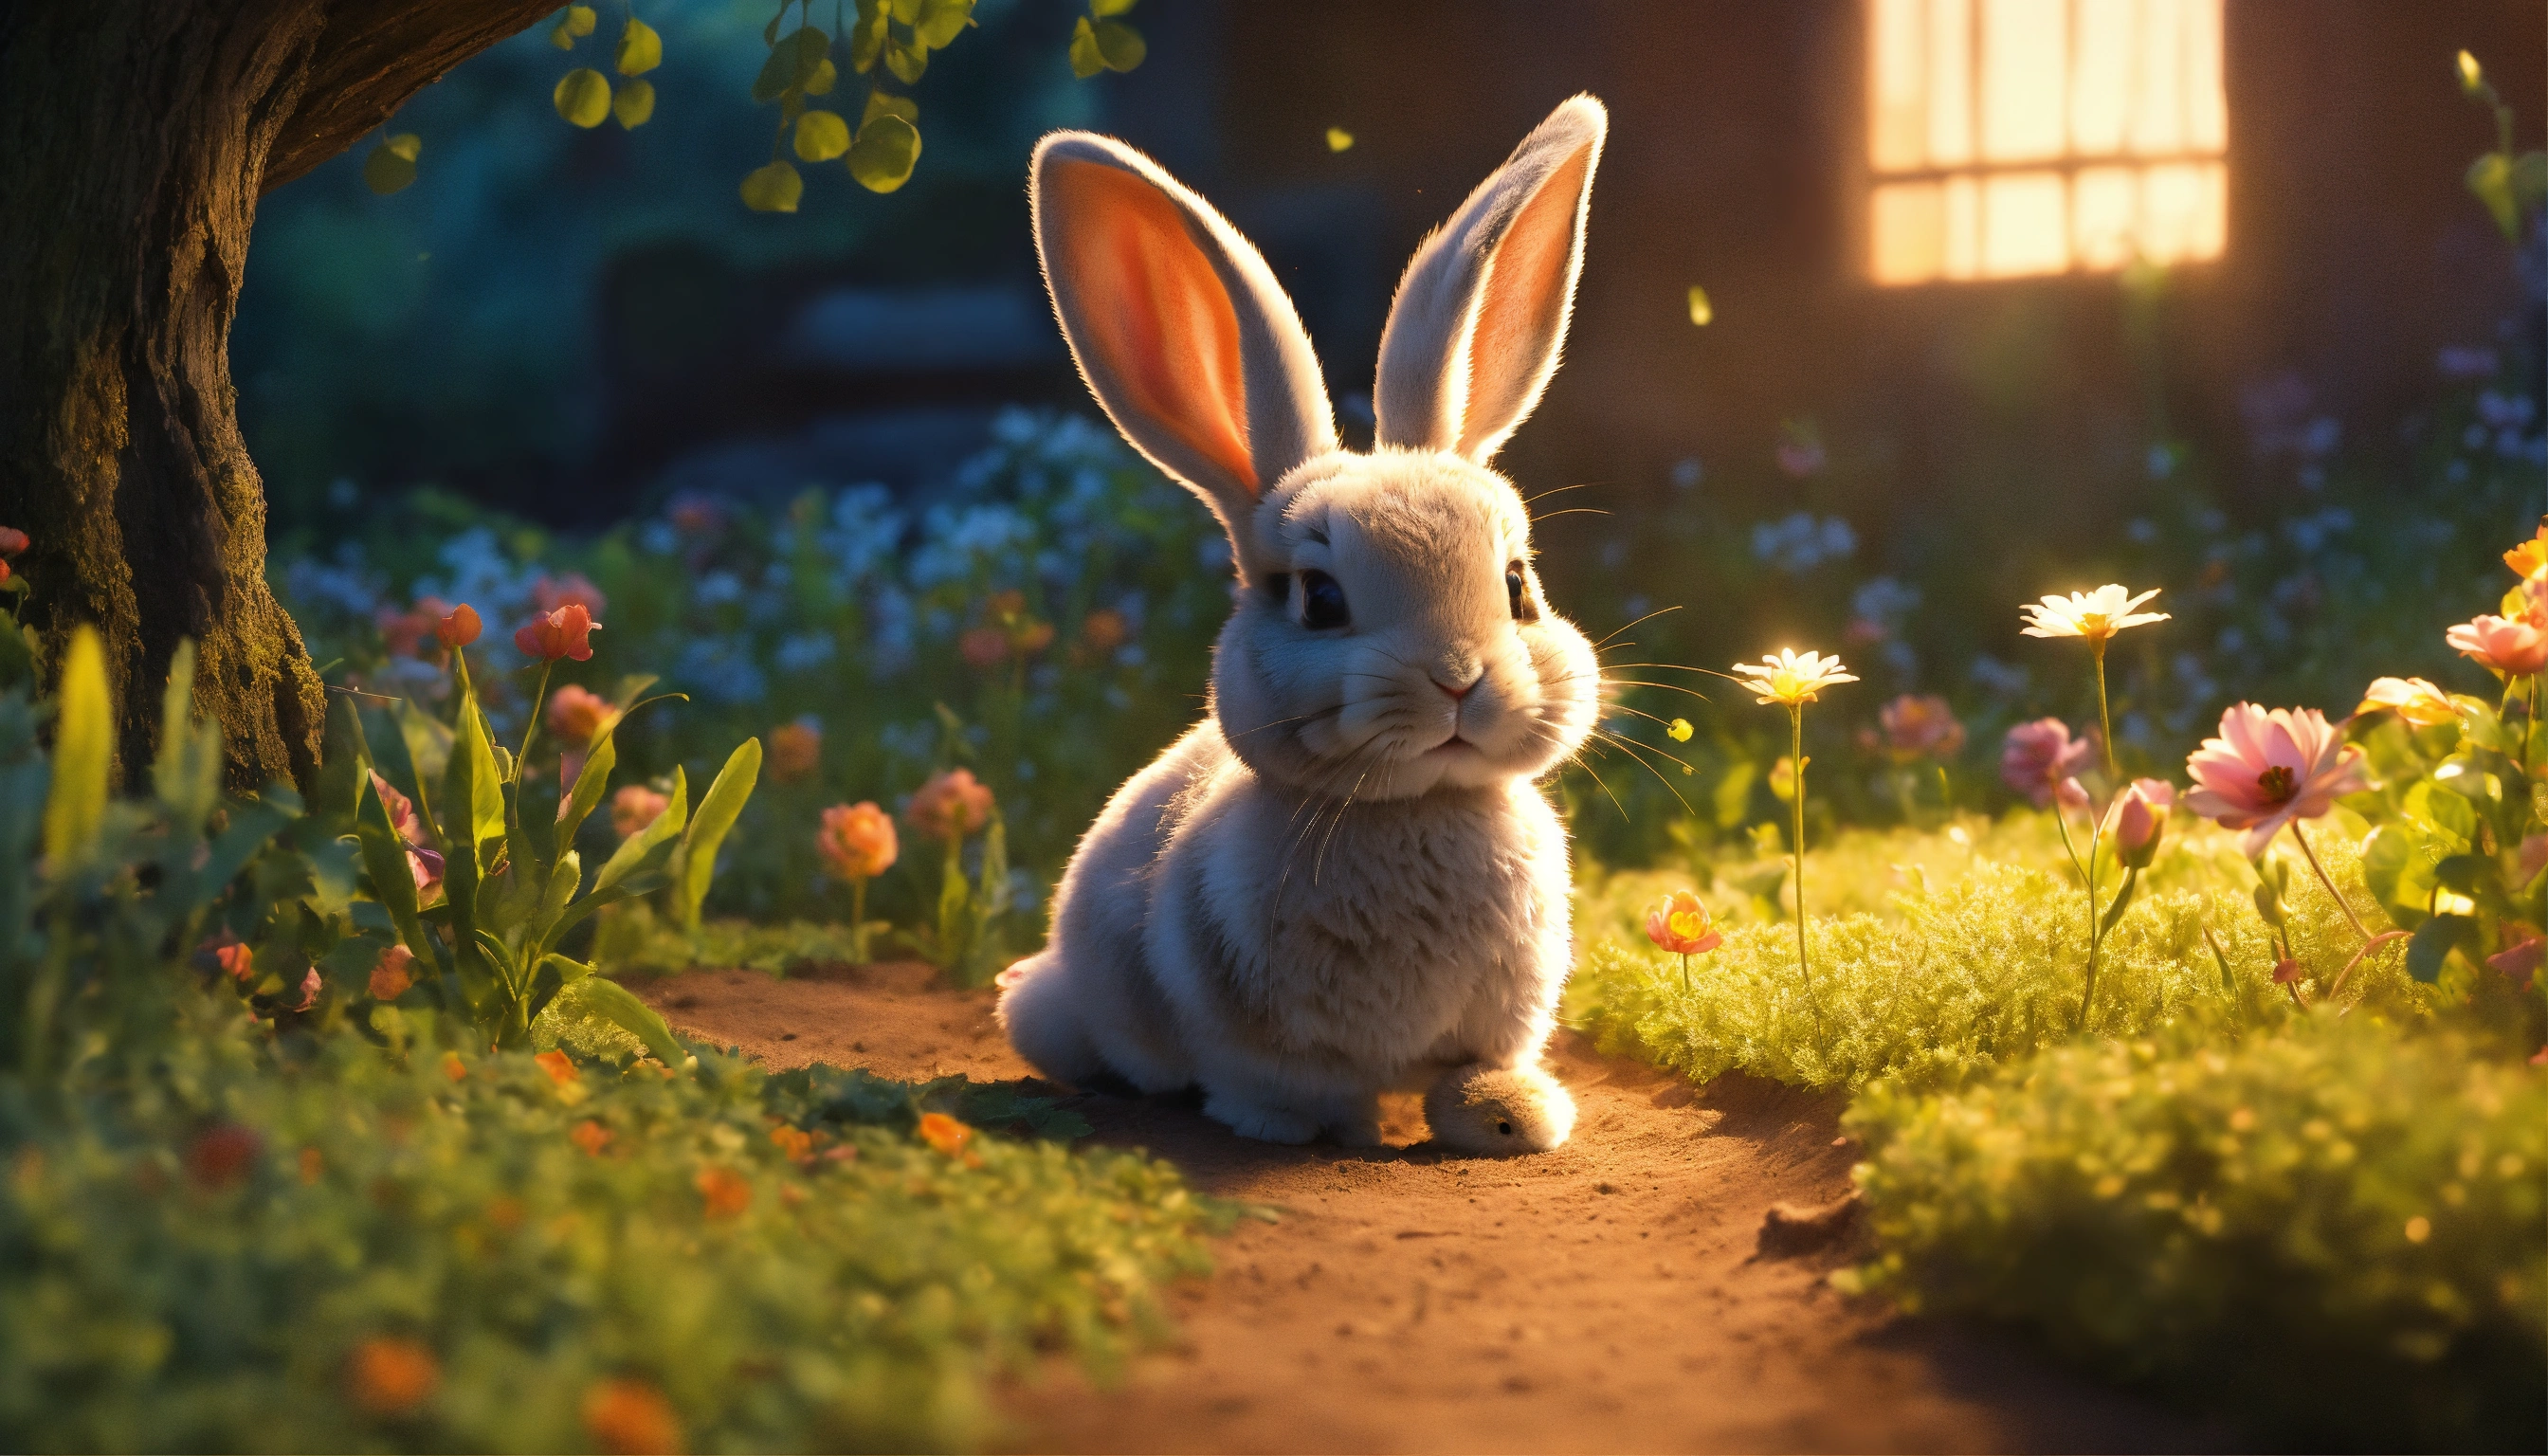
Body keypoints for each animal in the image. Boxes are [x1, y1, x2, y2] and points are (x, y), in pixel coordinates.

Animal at [996, 95, 1609, 1154]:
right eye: (1320, 600)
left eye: (1518, 584)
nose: (1459, 678)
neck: (1414, 810)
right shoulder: (1255, 1040)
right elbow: (1292, 1092)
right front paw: (1316, 1135)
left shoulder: (1502, 1018)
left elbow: (1479, 1069)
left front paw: (1511, 1119)